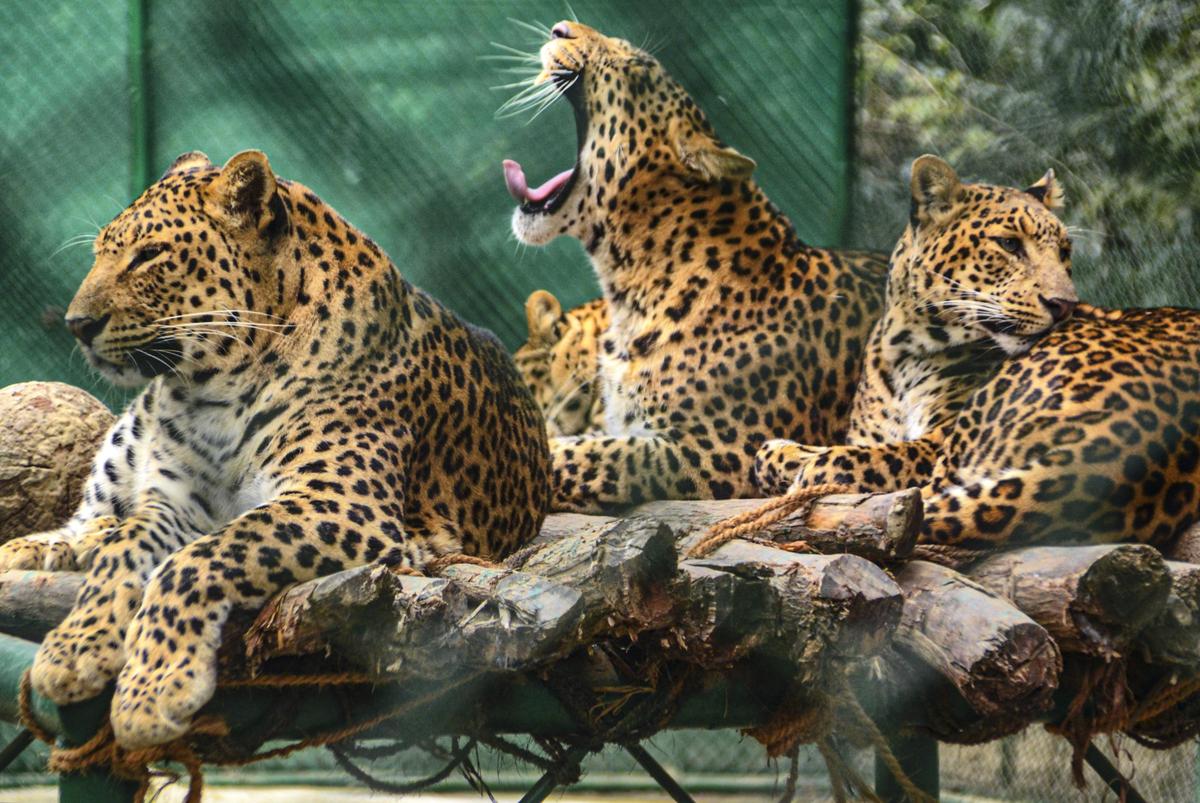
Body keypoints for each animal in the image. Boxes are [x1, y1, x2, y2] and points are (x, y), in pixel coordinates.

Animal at [0, 150, 551, 747]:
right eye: (101, 252)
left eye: (149, 255)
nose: (77, 324)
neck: (213, 391)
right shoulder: (176, 503)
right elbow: (130, 545)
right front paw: (76, 648)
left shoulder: (343, 506)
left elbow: (200, 557)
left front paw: (154, 688)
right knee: (92, 519)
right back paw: (40, 547)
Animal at [756, 155, 1200, 548]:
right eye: (1009, 244)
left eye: (1063, 253)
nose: (1064, 306)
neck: (907, 350)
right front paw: (787, 454)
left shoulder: (935, 438)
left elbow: (874, 457)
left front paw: (802, 462)